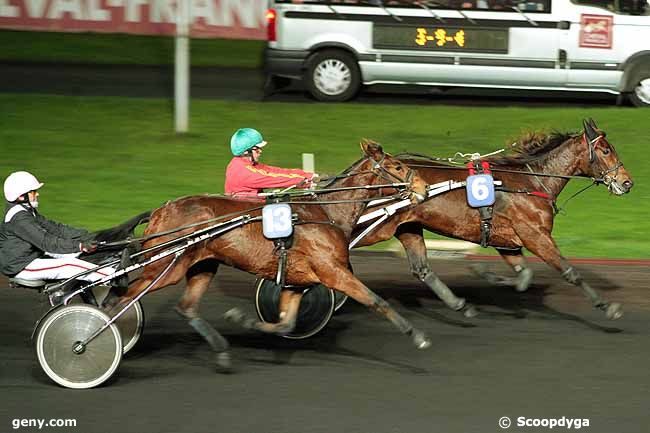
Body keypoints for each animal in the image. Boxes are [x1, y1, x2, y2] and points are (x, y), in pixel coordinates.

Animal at [107, 141, 430, 368]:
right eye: (397, 166)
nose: (424, 187)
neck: (326, 213)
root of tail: (160, 210)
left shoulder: (297, 282)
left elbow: (286, 323)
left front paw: (242, 319)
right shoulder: (333, 272)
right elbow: (376, 301)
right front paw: (418, 336)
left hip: (202, 265)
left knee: (185, 307)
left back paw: (221, 352)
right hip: (164, 267)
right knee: (119, 299)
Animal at [352, 120, 632, 318]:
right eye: (605, 150)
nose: (627, 182)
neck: (531, 183)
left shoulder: (507, 242)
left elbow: (524, 277)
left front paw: (484, 272)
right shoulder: (536, 236)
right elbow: (570, 271)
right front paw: (607, 306)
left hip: (408, 227)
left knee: (422, 269)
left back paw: (459, 304)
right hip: (374, 227)